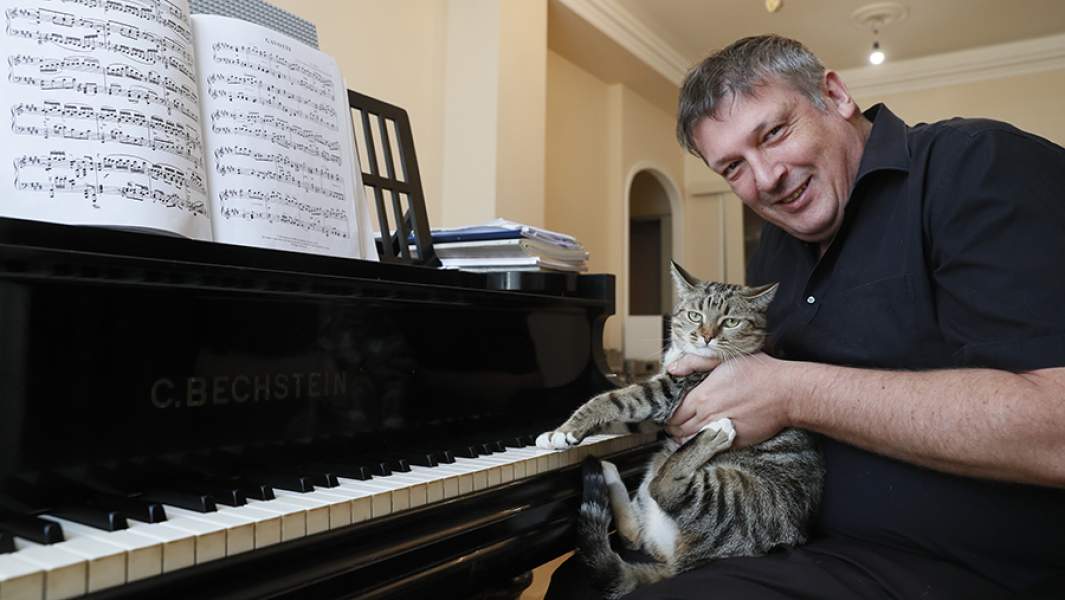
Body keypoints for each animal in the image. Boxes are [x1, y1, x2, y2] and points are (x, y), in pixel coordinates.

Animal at [536, 262, 824, 599]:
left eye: (731, 322)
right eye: (695, 315)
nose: (707, 337)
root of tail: (680, 563)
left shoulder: (668, 392)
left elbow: (611, 399)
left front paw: (562, 431)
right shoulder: (660, 416)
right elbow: (619, 416)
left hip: (736, 495)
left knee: (665, 488)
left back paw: (715, 433)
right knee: (636, 531)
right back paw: (609, 472)